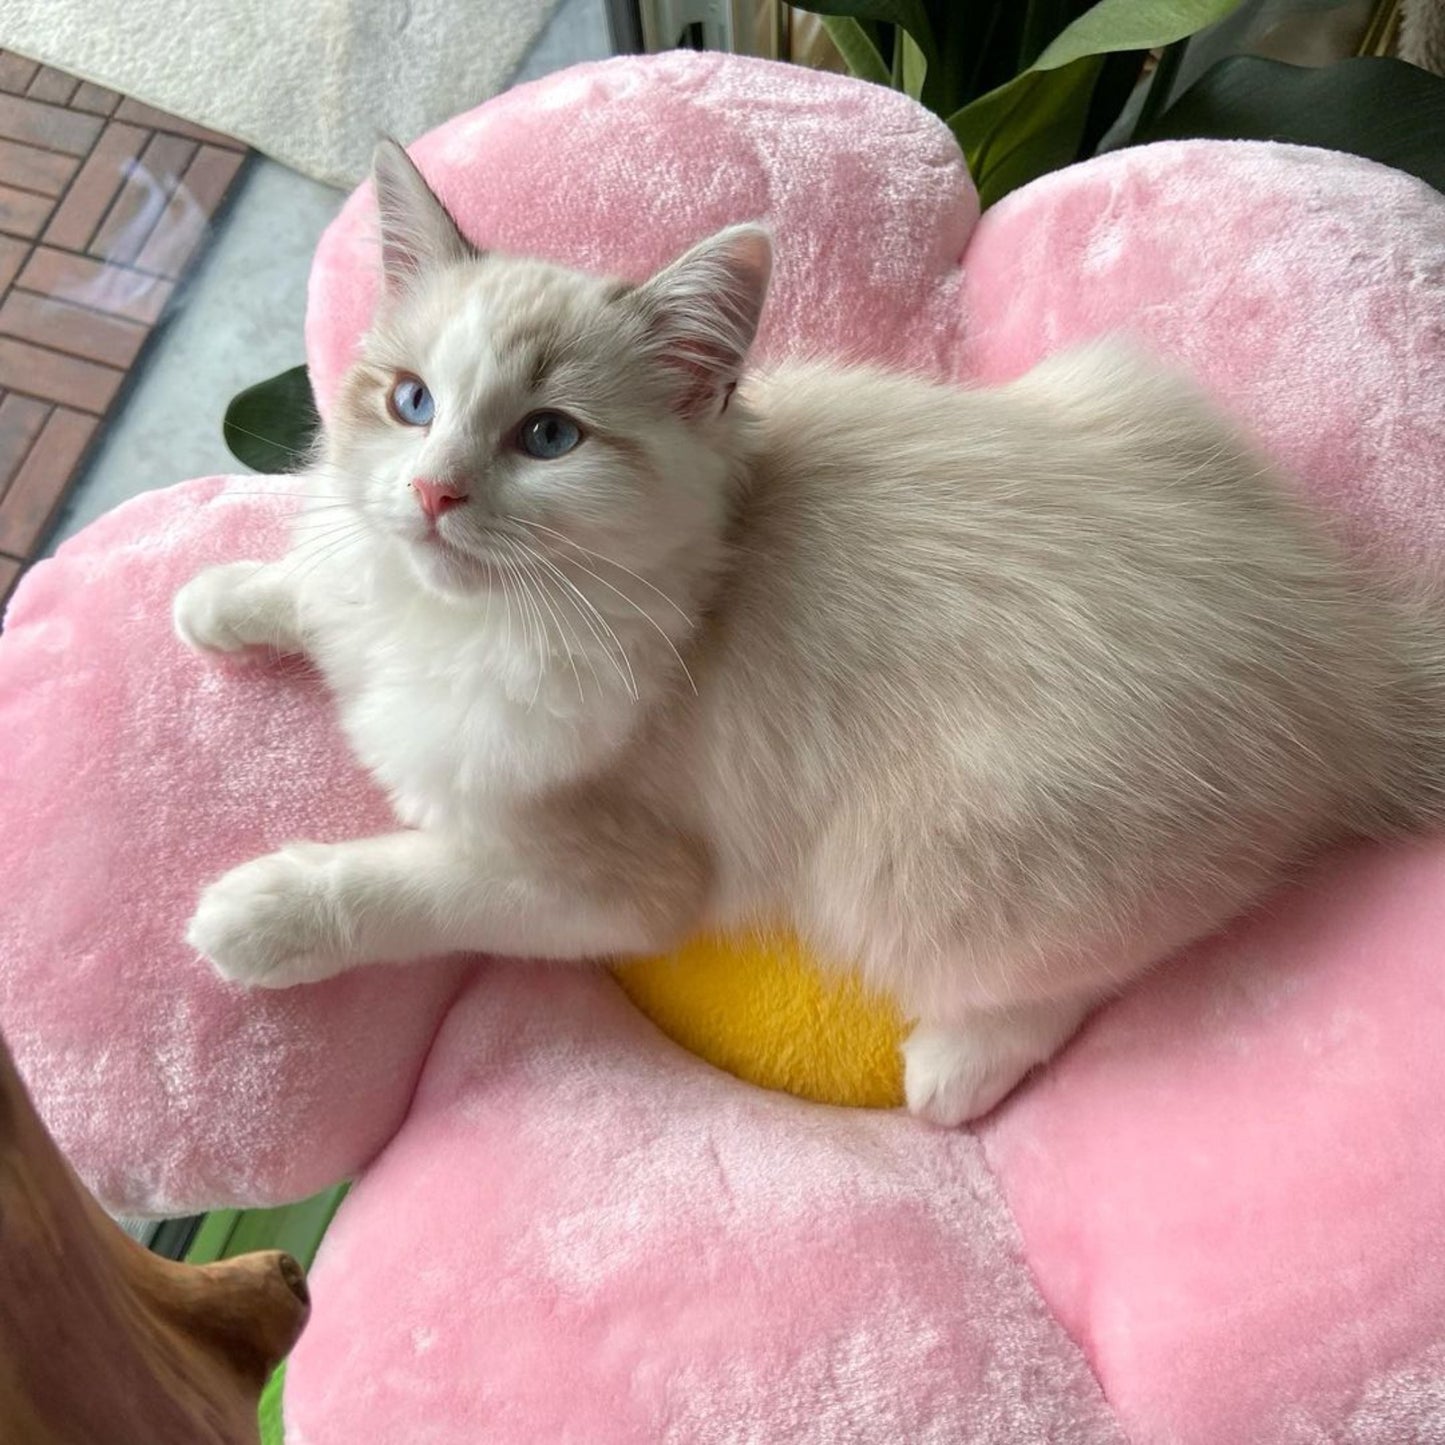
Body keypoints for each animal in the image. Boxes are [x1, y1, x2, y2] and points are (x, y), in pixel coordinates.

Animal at [177, 137, 1445, 1127]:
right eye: (412, 404)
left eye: (547, 436)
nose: (433, 493)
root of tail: (1343, 654)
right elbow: (318, 582)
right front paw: (220, 599)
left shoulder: (618, 878)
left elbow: (417, 882)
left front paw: (258, 915)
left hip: (912, 859)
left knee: (1125, 953)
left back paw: (957, 1067)